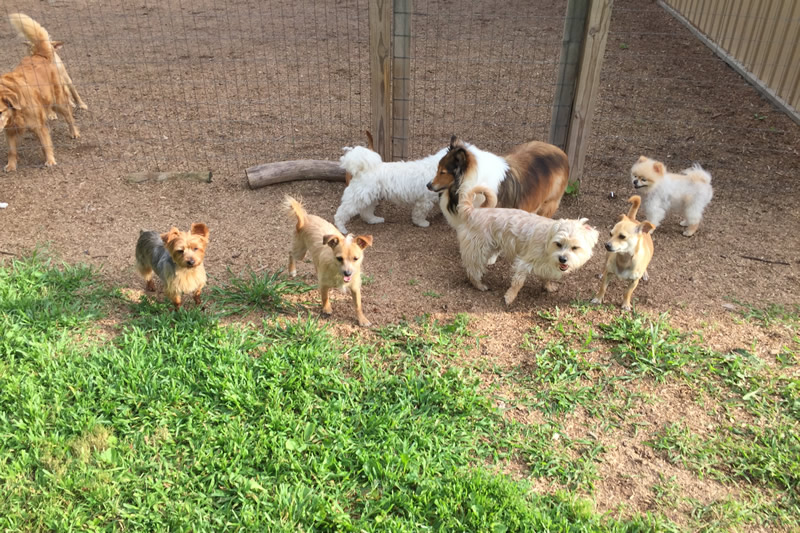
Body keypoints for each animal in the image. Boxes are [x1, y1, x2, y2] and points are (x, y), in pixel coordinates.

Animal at [286, 197, 374, 326]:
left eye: (356, 259)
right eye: (339, 258)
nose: (348, 273)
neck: (337, 272)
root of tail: (304, 218)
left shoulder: (355, 288)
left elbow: (358, 305)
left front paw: (362, 319)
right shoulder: (324, 284)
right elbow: (325, 297)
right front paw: (326, 308)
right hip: (300, 252)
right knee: (291, 253)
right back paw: (292, 270)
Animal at [456, 186, 600, 304]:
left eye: (575, 248)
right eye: (558, 244)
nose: (562, 259)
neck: (547, 243)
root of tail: (473, 211)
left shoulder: (547, 267)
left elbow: (546, 278)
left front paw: (548, 287)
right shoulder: (524, 263)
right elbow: (518, 283)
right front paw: (509, 297)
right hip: (478, 250)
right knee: (473, 270)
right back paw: (479, 285)